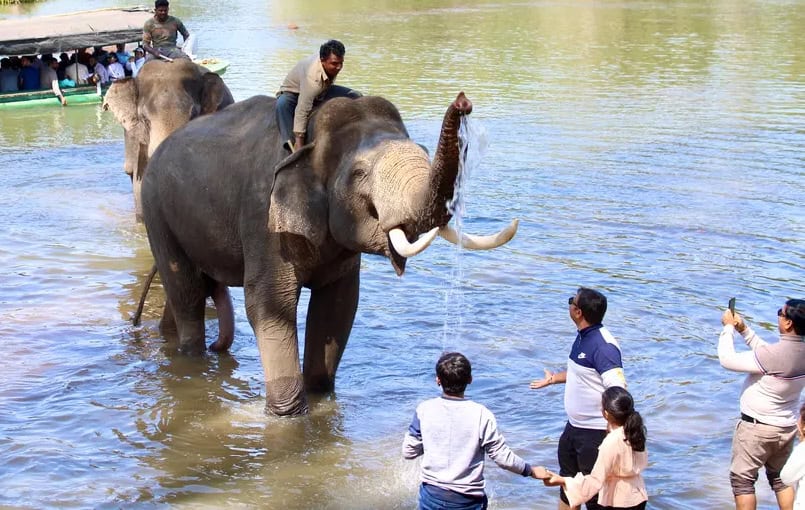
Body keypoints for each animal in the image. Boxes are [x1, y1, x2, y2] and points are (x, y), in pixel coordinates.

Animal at [141, 91, 520, 416]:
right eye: (359, 173)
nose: (464, 102)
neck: (309, 141)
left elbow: (339, 304)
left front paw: (320, 394)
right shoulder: (263, 216)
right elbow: (270, 302)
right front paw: (287, 416)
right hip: (156, 208)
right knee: (187, 290)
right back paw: (191, 359)